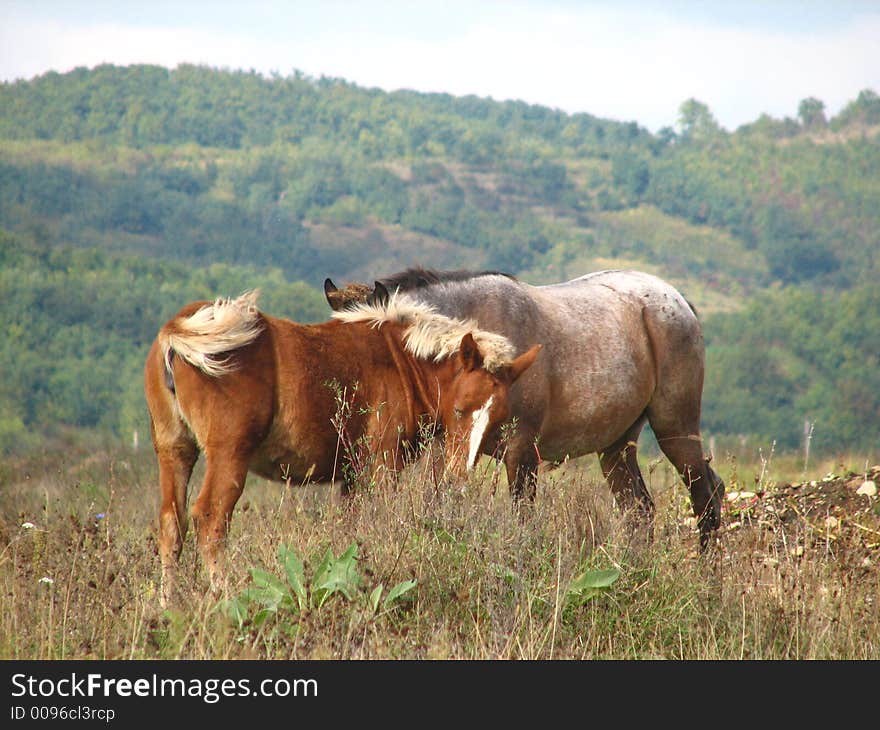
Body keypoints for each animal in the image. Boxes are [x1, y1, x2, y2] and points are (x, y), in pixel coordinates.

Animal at [145, 288, 544, 604]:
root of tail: (178, 330)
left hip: (174, 451)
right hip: (229, 455)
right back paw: (225, 599)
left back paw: (168, 606)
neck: (400, 360)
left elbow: (351, 532)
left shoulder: (352, 476)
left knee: (172, 522)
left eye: (498, 420)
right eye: (460, 409)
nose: (460, 477)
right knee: (210, 517)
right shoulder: (382, 466)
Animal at [326, 268, 724, 544]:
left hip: (675, 429)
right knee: (640, 512)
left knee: (706, 497)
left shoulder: (521, 453)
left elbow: (523, 520)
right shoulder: (446, 452)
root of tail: (680, 303)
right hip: (616, 447)